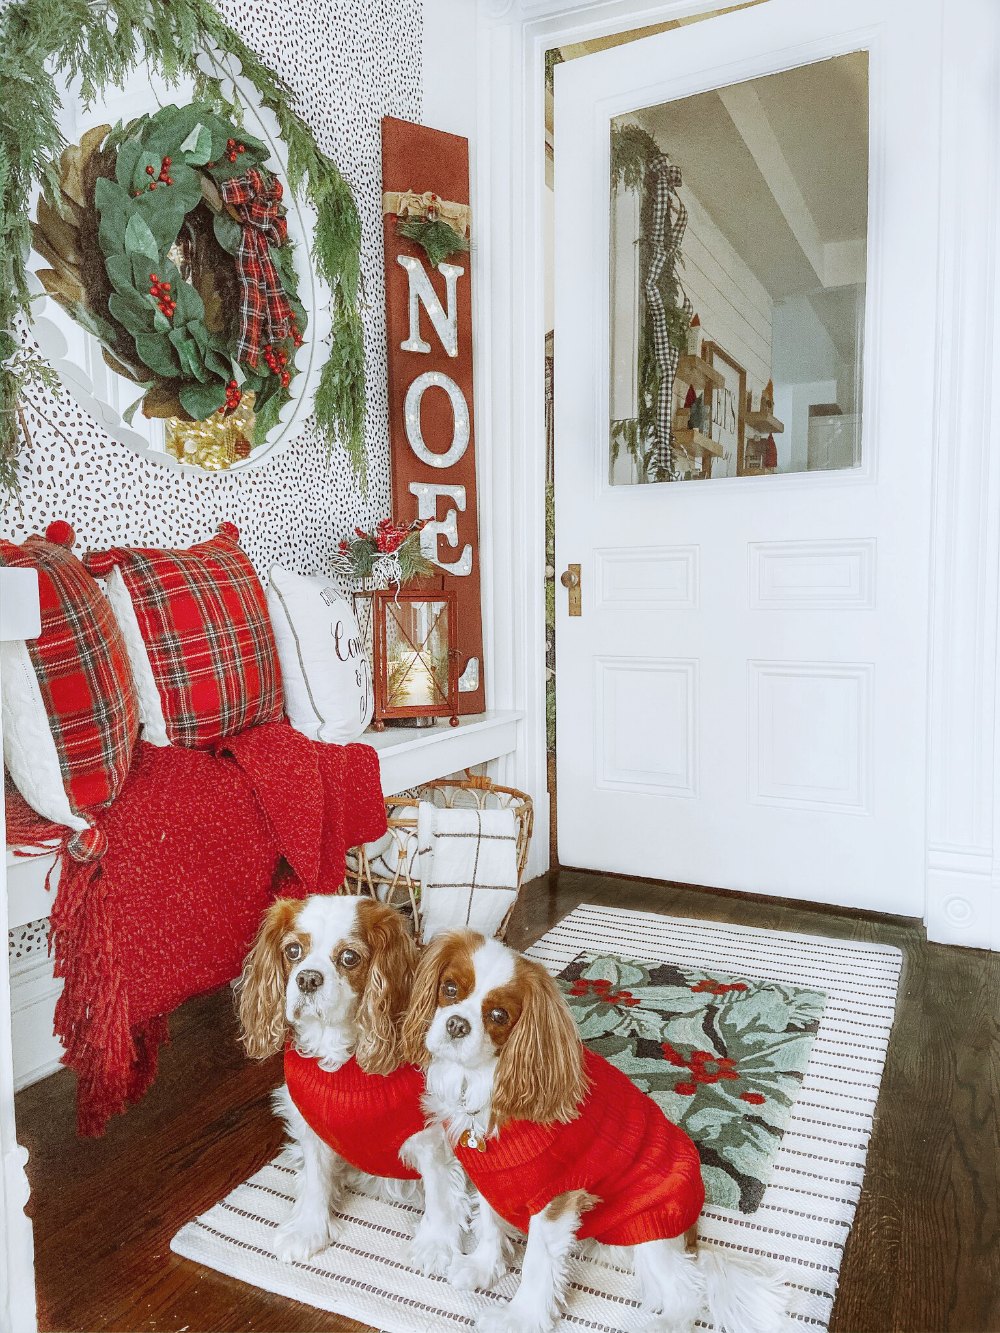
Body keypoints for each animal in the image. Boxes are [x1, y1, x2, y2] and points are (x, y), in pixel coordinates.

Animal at [237, 895, 466, 1269]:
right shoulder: (312, 1126)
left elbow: (440, 1193)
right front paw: (308, 1230)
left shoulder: (431, 1137)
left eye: (349, 958)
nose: (308, 979)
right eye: (293, 951)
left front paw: (435, 1246)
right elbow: (315, 1177)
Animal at [402, 927, 794, 1333]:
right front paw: (483, 1268)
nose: (456, 1024)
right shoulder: (495, 1177)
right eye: (449, 989)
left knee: (688, 1290)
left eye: (498, 1014)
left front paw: (520, 1318)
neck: (483, 1082)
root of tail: (690, 1234)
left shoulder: (554, 1199)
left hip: (651, 1229)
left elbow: (537, 1265)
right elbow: (490, 1223)